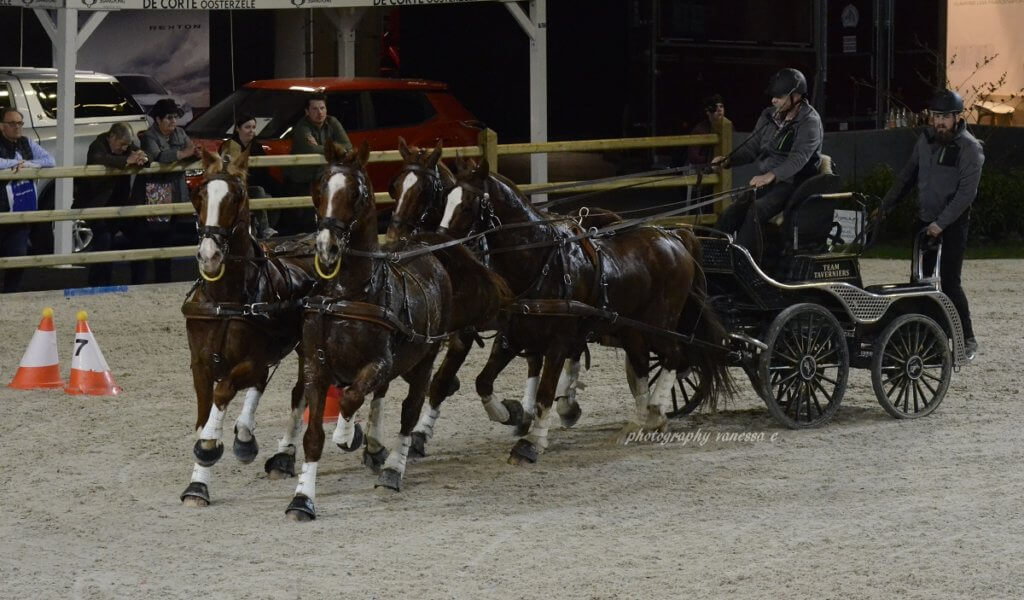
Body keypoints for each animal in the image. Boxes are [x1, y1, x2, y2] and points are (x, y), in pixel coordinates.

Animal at [180, 149, 318, 507]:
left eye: (237, 195)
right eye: (200, 194)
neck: (225, 297)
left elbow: (225, 391)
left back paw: (281, 455)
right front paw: (197, 484)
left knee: (301, 391)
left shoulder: (253, 359)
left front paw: (213, 446)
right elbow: (204, 415)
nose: (209, 255)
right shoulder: (200, 364)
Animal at [285, 140, 510, 521]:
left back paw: (393, 468)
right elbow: (313, 435)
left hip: (425, 355)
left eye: (357, 193)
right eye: (319, 189)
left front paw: (349, 435)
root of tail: (426, 249)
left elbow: (351, 398)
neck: (348, 296)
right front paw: (302, 499)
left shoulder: (380, 363)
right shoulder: (316, 368)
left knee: (411, 407)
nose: (327, 248)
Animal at [439, 157, 732, 464]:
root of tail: (674, 236)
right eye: (445, 200)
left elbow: (545, 393)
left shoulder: (558, 343)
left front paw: (532, 443)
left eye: (468, 204)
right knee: (642, 364)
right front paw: (512, 414)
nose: (443, 249)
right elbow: (483, 382)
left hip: (660, 323)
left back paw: (654, 411)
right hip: (632, 328)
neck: (542, 261)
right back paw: (640, 421)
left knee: (675, 356)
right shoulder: (512, 336)